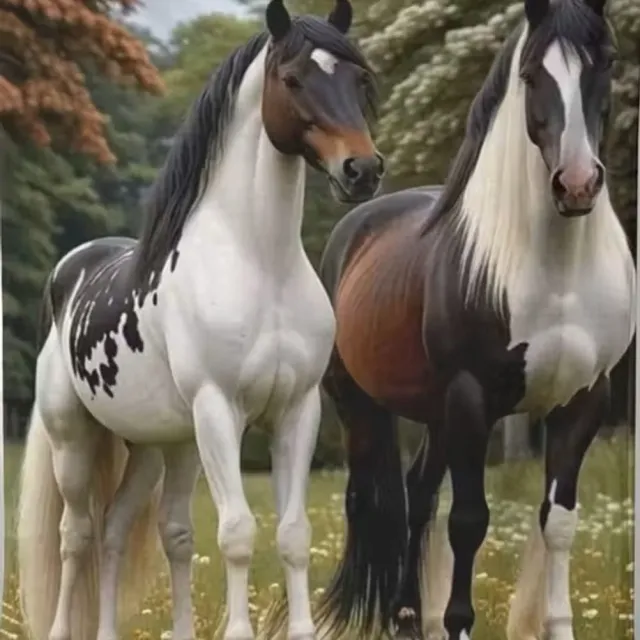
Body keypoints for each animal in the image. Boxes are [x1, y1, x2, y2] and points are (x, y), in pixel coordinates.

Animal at [16, 1, 384, 639]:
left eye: (359, 80)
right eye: (293, 80)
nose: (361, 168)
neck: (260, 261)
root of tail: (67, 275)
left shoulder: (297, 411)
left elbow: (292, 533)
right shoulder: (218, 408)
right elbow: (236, 532)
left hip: (156, 446)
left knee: (122, 530)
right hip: (74, 441)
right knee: (75, 536)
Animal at [314, 0, 635, 638]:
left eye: (607, 62)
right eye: (532, 75)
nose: (577, 184)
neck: (554, 267)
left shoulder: (584, 400)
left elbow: (558, 522)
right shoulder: (471, 398)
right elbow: (468, 520)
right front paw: (459, 623)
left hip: (436, 416)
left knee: (417, 497)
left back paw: (409, 616)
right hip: (362, 405)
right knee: (372, 501)